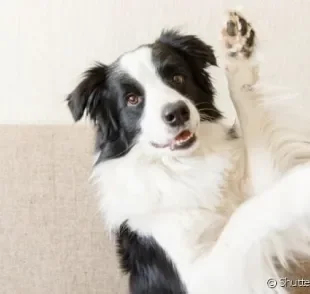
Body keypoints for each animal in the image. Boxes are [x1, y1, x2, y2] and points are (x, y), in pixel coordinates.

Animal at [66, 10, 310, 292]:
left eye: (177, 78)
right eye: (132, 99)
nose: (177, 112)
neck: (185, 164)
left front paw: (238, 53)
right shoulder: (201, 276)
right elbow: (243, 219)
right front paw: (301, 183)